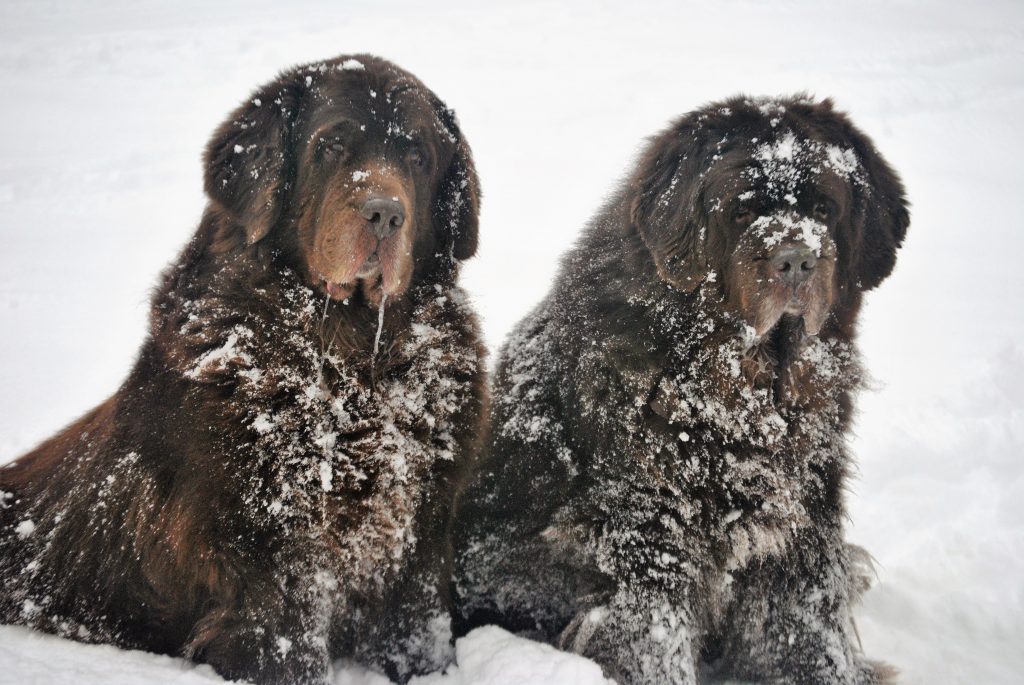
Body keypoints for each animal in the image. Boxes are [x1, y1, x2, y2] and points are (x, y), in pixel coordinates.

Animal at [0, 54, 487, 683]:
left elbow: (416, 635)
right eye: (332, 146)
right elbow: (286, 646)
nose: (384, 215)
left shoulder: (417, 542)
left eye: (419, 157)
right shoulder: (268, 557)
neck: (350, 362)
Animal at [460, 96, 909, 683]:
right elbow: (655, 638)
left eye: (823, 209)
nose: (795, 259)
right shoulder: (648, 532)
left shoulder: (803, 515)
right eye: (740, 211)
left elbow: (804, 624)